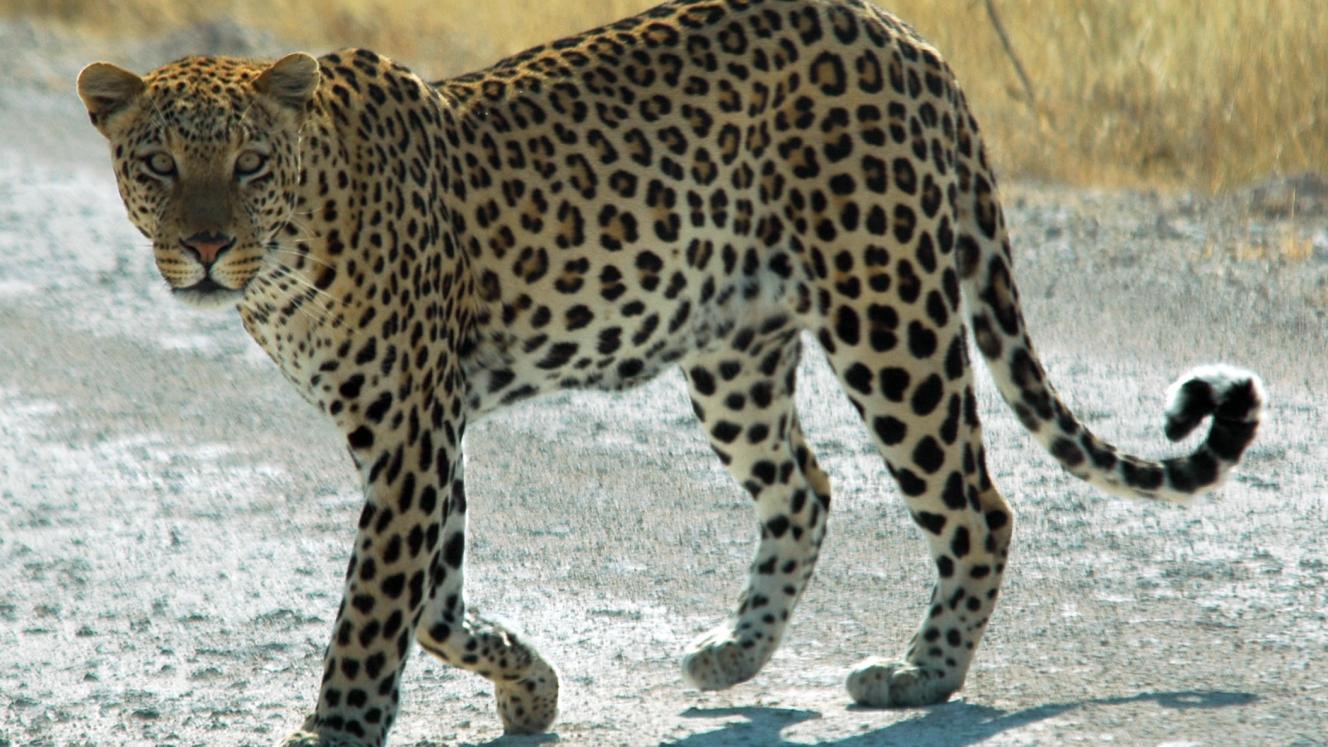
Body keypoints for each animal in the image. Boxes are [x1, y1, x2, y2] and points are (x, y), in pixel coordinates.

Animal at [77, 0, 1265, 743]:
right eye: (156, 164)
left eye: (247, 164)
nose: (204, 248)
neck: (288, 258)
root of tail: (908, 37)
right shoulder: (415, 434)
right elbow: (433, 601)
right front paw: (532, 688)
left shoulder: (409, 431)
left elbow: (377, 609)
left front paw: (338, 728)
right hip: (732, 352)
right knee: (804, 488)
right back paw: (734, 654)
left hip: (887, 310)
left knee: (975, 502)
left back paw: (919, 673)